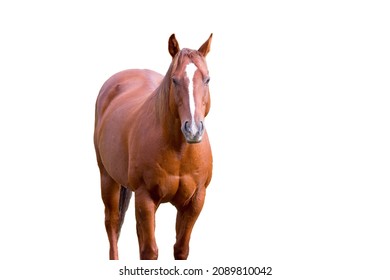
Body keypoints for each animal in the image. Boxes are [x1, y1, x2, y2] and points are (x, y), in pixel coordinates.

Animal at [93, 33, 213, 260]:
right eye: (174, 80)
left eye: (207, 79)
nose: (193, 129)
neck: (179, 152)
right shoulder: (145, 197)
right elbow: (150, 251)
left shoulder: (195, 201)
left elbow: (180, 249)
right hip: (108, 178)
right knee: (112, 223)